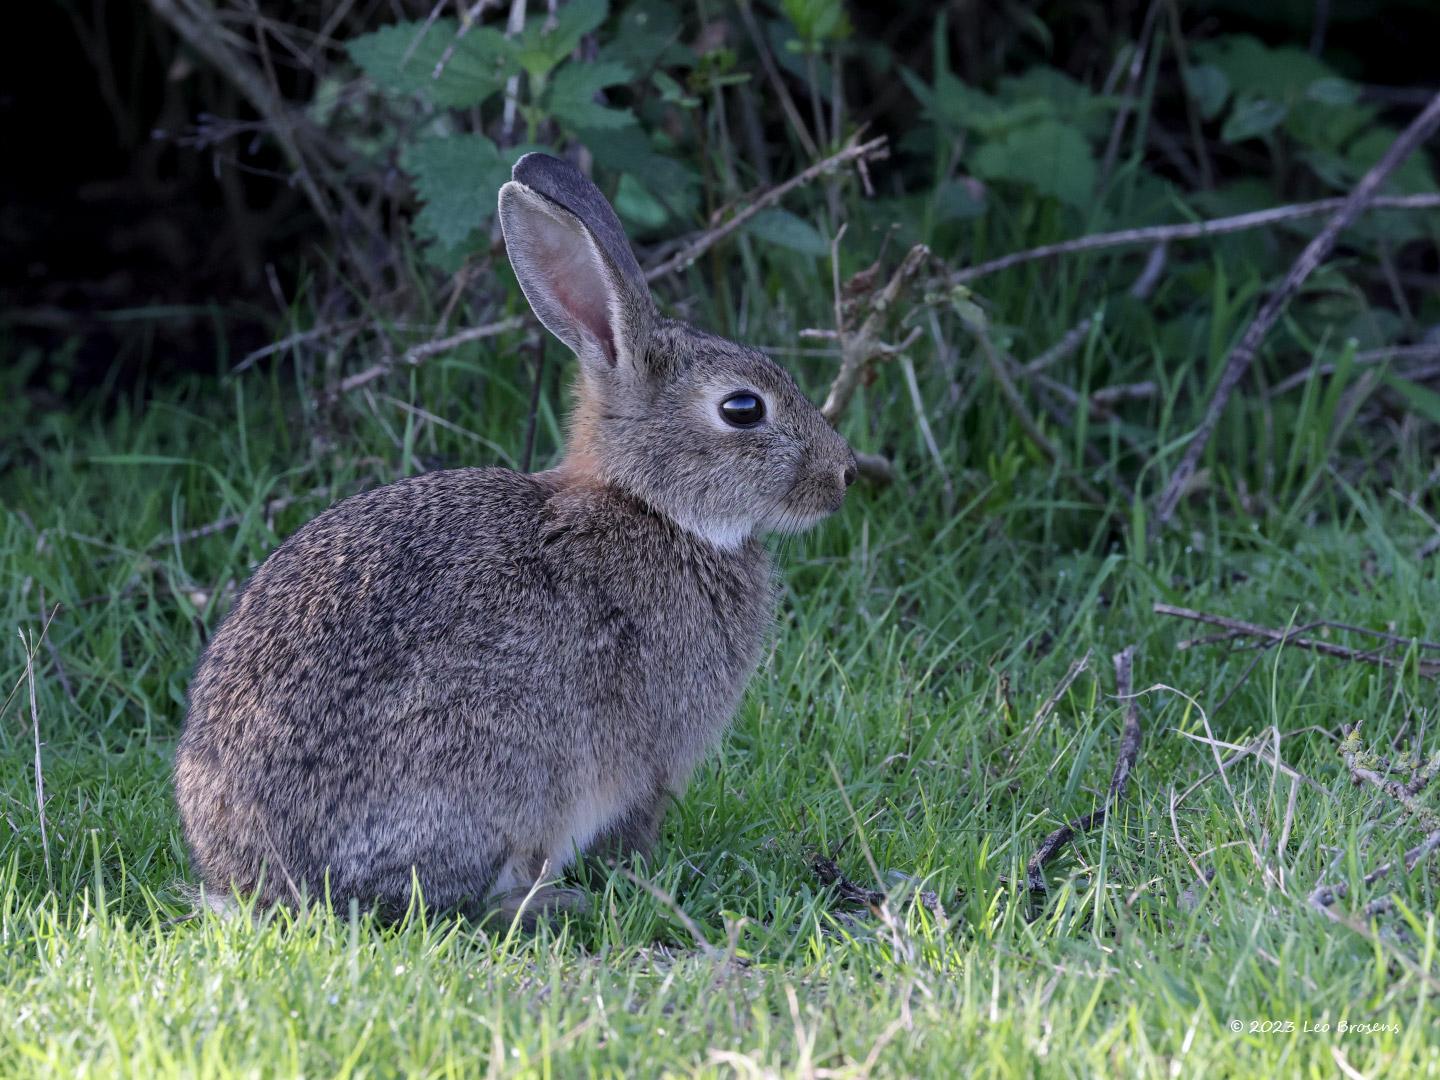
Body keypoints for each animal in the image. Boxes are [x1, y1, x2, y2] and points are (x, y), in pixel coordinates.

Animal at [175, 152, 858, 927]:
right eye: (743, 408)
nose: (842, 474)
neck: (652, 506)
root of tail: (256, 886)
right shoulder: (654, 758)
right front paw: (648, 875)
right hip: (500, 767)